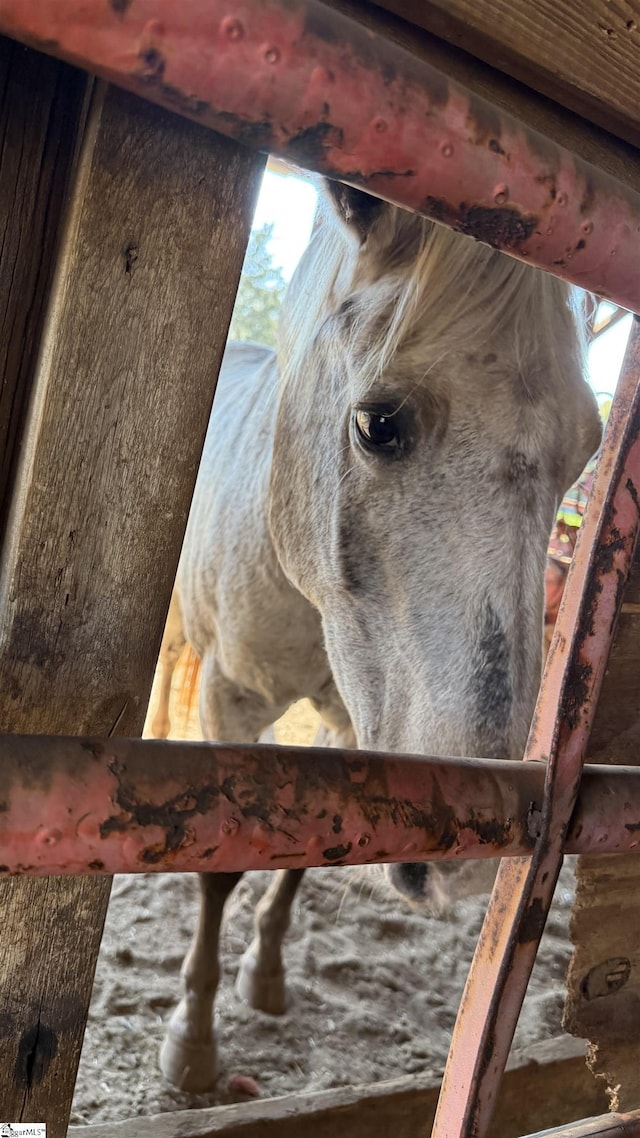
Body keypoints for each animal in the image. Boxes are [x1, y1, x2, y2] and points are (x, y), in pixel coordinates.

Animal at [156, 182, 596, 1087]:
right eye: (377, 424)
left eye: (588, 449)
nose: (474, 860)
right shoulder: (229, 699)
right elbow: (222, 868)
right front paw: (193, 1041)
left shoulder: (350, 723)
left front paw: (267, 976)